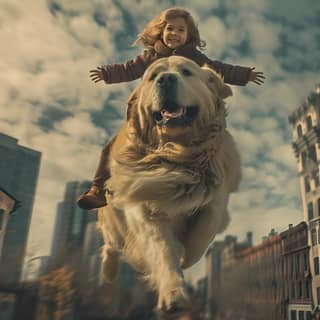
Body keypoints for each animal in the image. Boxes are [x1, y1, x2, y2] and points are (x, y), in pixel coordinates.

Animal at [97, 55, 240, 312]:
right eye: (153, 76)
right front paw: (173, 292)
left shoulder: (216, 198)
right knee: (111, 245)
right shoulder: (143, 206)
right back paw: (110, 272)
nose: (165, 80)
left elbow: (202, 235)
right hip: (112, 222)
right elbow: (162, 248)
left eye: (186, 72)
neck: (177, 154)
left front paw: (186, 255)